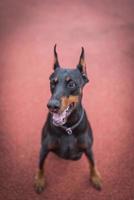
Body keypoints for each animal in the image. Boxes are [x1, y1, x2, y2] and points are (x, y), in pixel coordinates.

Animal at [34, 45, 101, 192]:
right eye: (52, 83)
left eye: (71, 84)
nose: (52, 106)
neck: (68, 128)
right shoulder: (44, 148)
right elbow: (40, 165)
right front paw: (39, 180)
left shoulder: (88, 148)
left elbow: (92, 163)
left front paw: (96, 177)